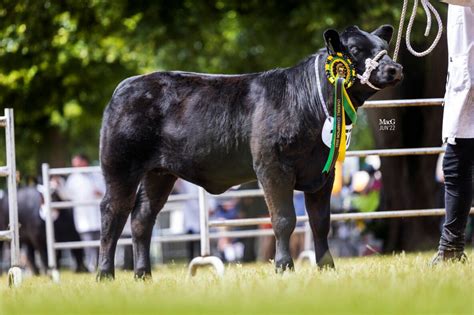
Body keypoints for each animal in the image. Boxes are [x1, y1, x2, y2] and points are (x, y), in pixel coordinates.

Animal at [97, 25, 404, 282]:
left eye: (383, 47)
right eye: (356, 50)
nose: (394, 68)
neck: (308, 101)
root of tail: (126, 85)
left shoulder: (323, 173)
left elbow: (320, 222)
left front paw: (327, 268)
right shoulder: (272, 167)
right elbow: (284, 219)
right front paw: (284, 267)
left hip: (159, 173)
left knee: (142, 218)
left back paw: (143, 275)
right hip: (120, 166)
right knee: (113, 213)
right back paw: (105, 275)